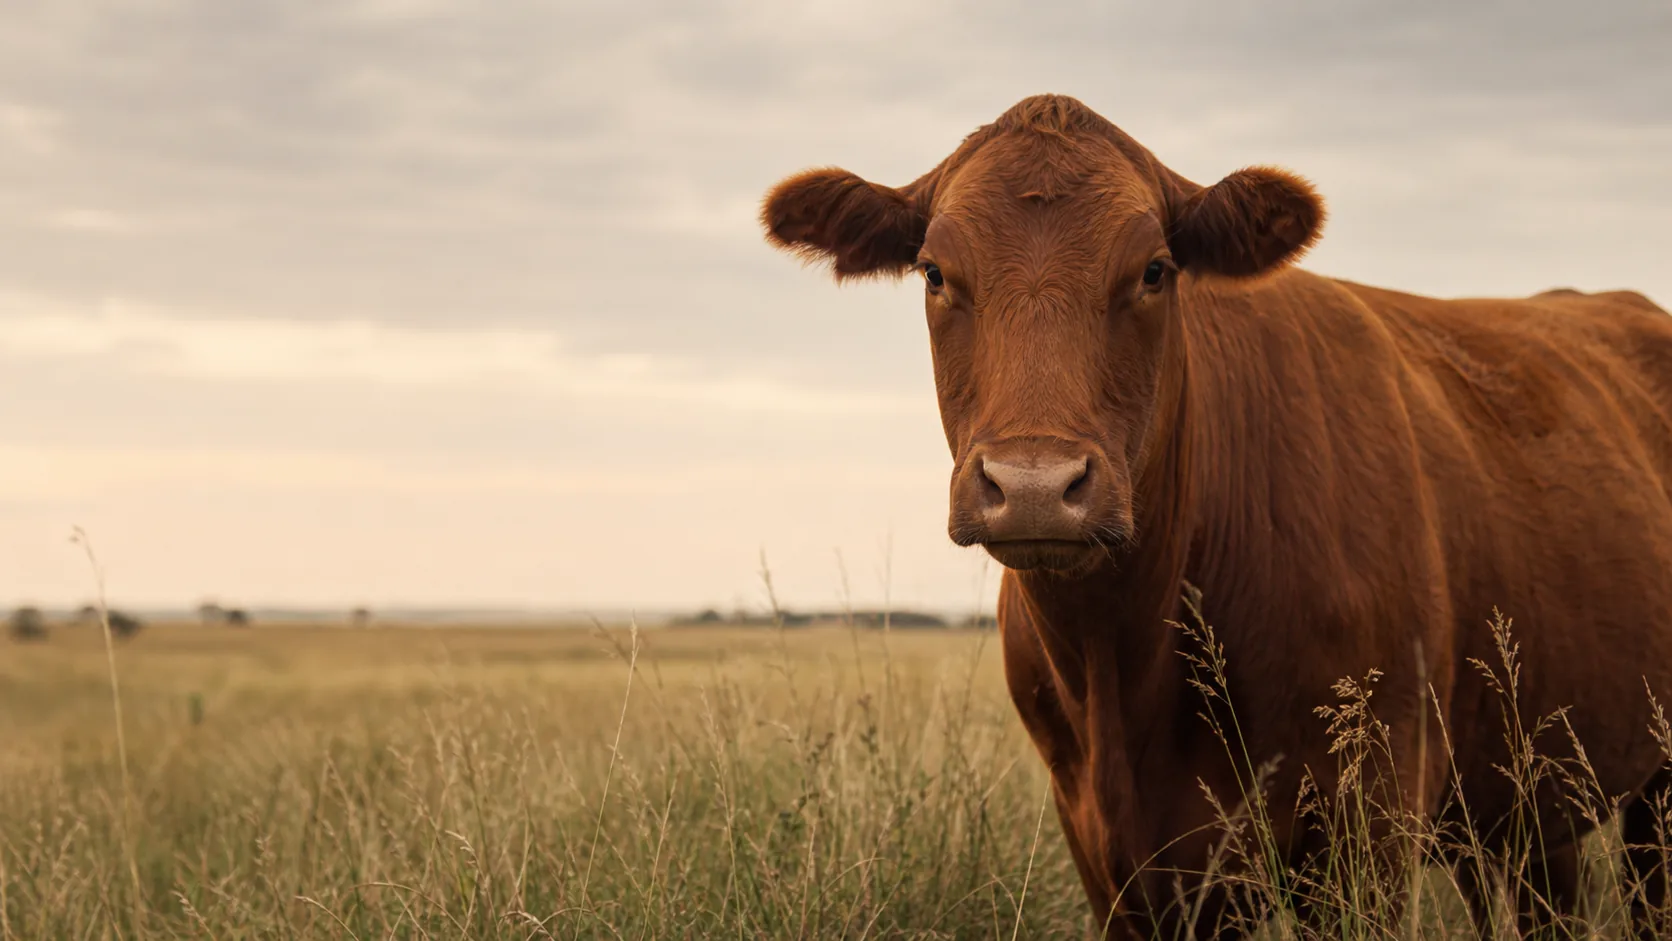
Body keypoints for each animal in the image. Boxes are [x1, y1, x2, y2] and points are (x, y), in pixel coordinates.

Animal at [760, 94, 1672, 938]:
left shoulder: (1371, 817)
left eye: (1155, 270)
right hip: (1522, 798)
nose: (1034, 483)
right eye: (934, 272)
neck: (1122, 665)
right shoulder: (1112, 859)